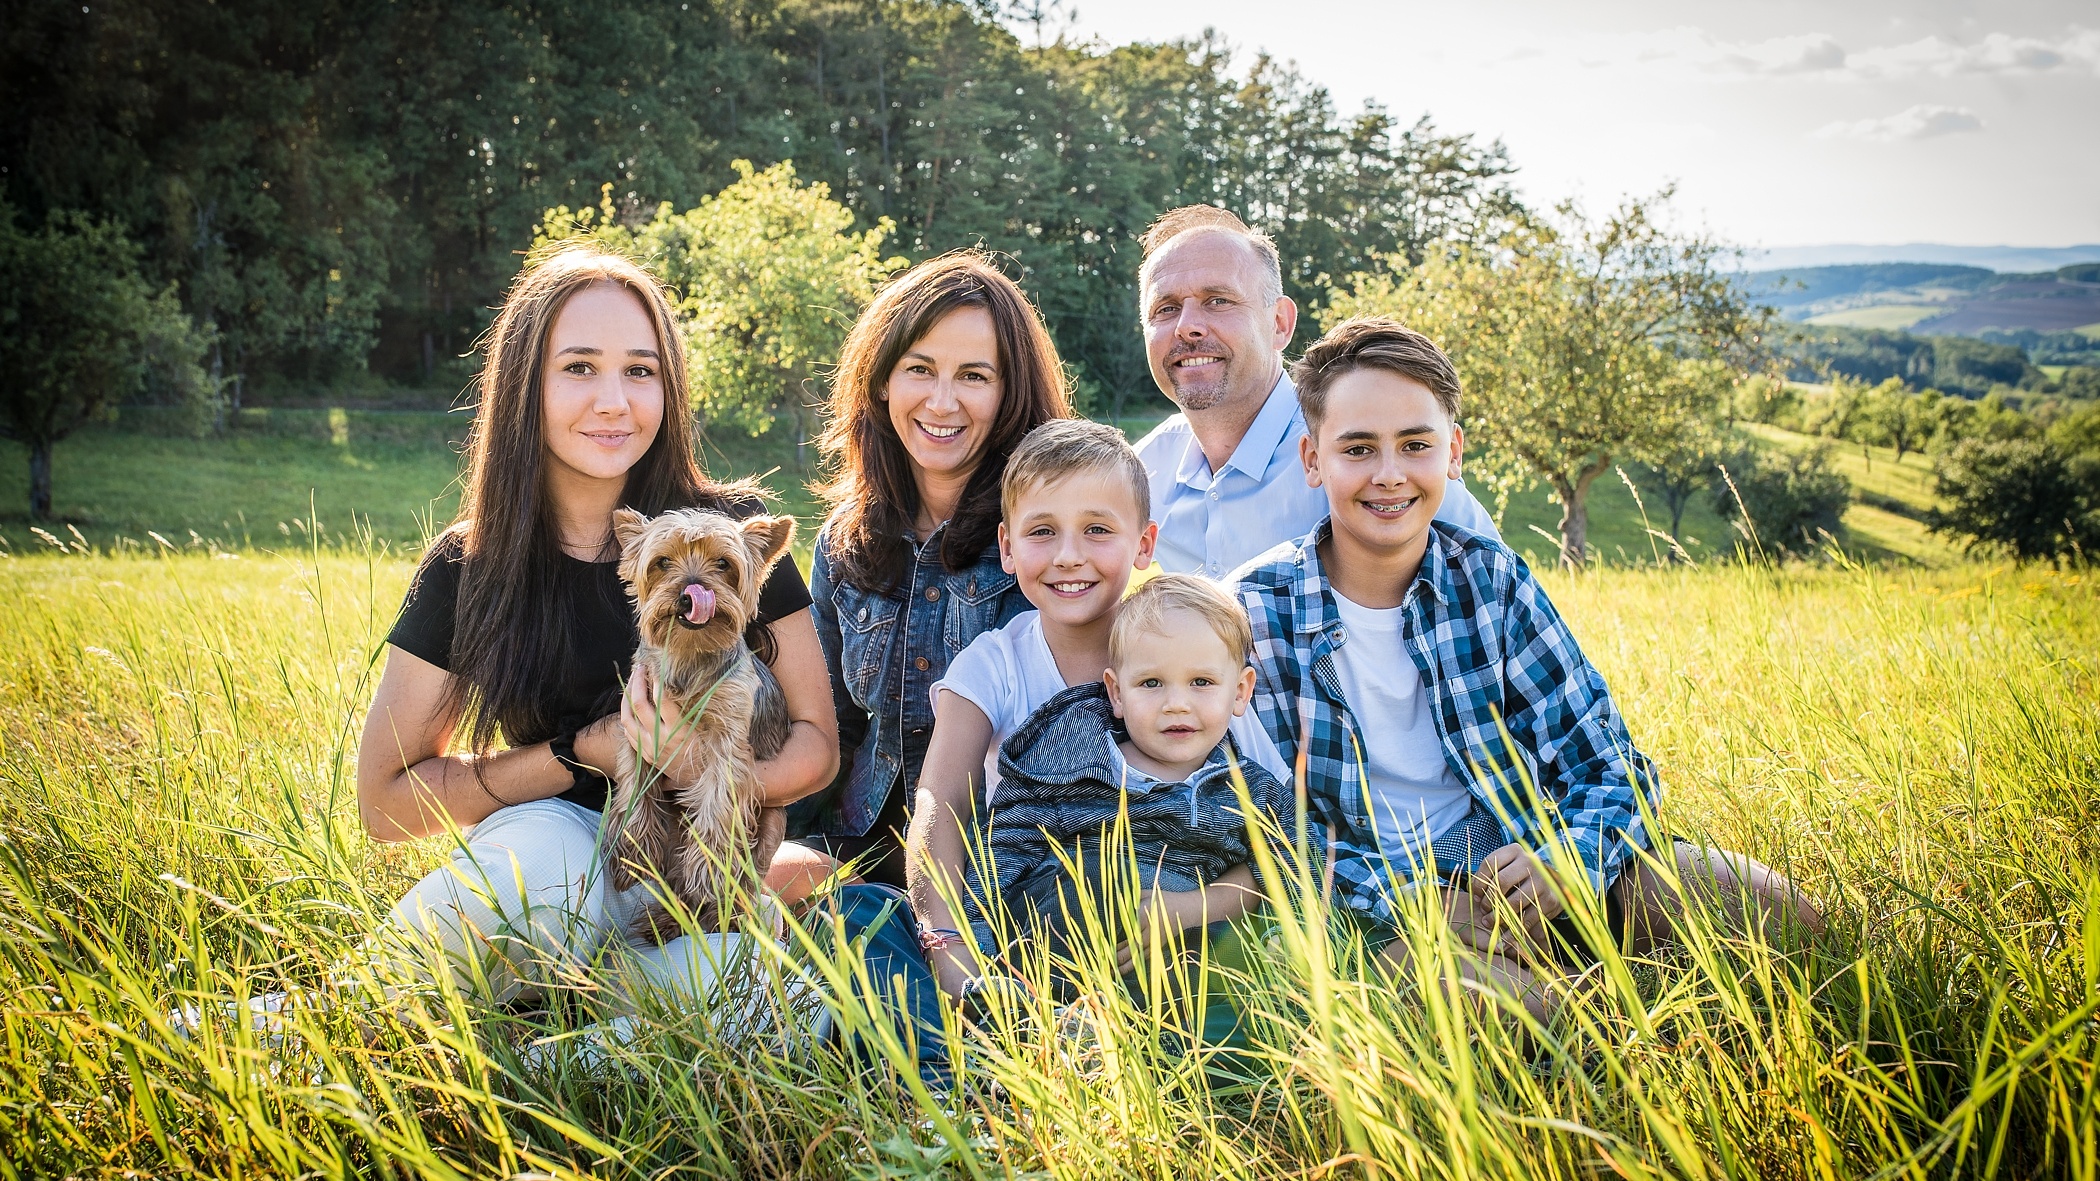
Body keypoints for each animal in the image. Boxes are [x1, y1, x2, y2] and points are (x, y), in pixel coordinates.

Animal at [613, 504, 802, 937]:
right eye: (662, 563)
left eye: (723, 564)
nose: (689, 594)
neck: (689, 653)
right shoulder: (635, 731)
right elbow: (632, 788)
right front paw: (631, 855)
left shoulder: (726, 742)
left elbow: (717, 809)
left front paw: (706, 876)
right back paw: (669, 918)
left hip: (771, 824)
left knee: (744, 878)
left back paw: (714, 914)